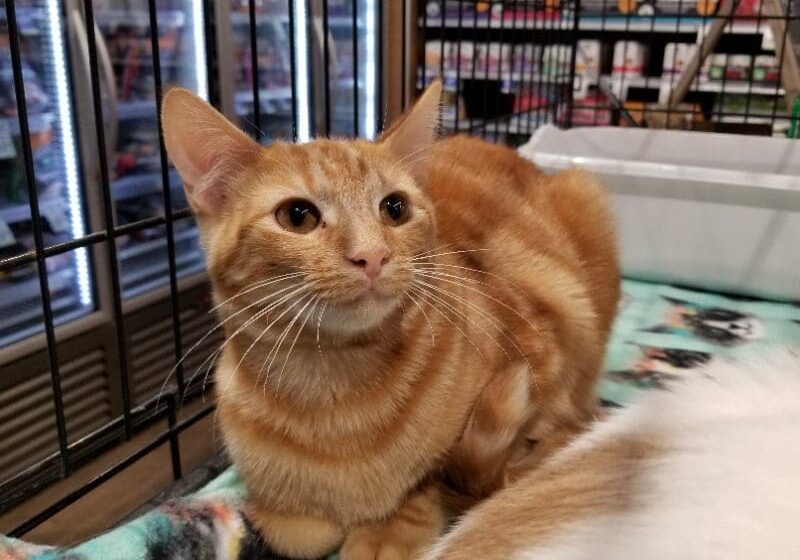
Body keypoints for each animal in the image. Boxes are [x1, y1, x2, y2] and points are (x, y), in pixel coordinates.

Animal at [161, 82, 620, 560]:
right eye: (297, 216)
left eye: (394, 208)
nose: (373, 255)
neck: (332, 394)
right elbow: (295, 531)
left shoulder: (544, 358)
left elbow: (450, 472)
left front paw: (393, 525)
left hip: (584, 203)